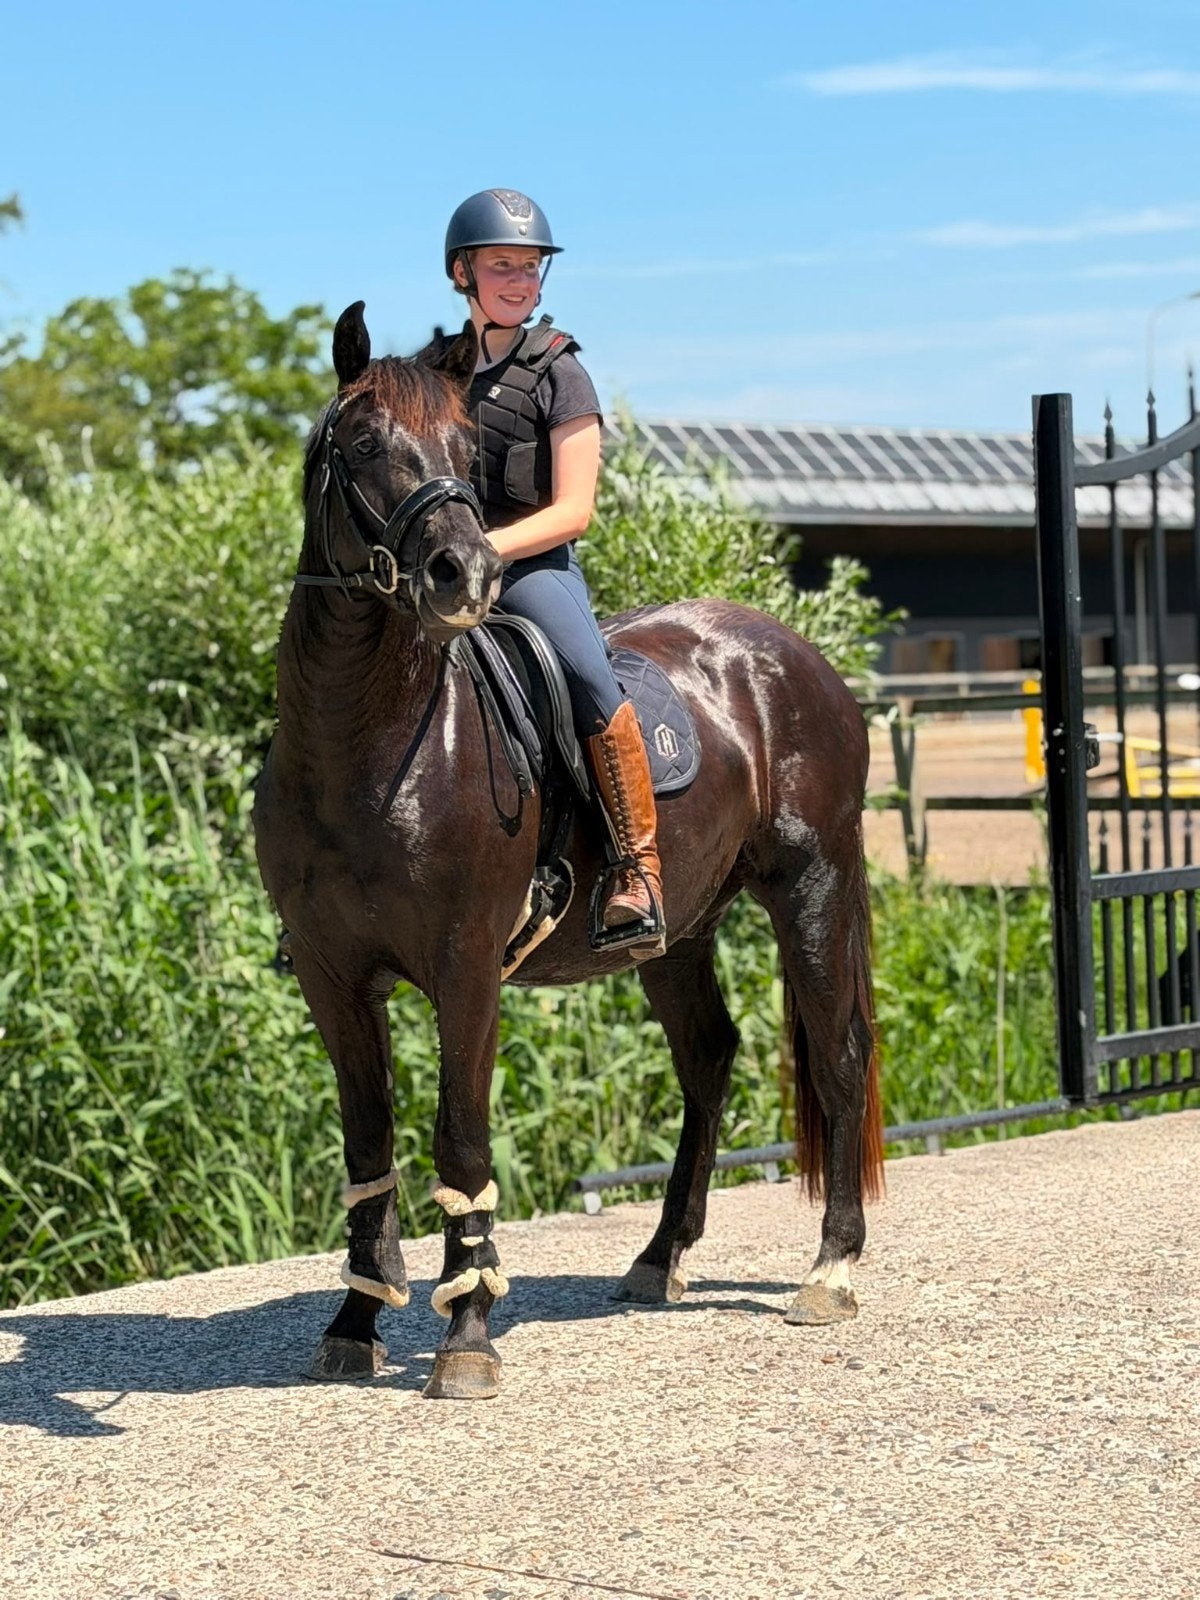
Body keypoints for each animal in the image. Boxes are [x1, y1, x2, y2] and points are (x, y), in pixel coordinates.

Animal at [252, 302, 884, 1400]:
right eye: (362, 445)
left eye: (466, 447)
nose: (461, 572)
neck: (365, 751)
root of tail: (793, 653)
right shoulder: (333, 977)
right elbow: (368, 1138)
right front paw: (356, 1319)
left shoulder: (466, 970)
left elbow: (460, 1138)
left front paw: (465, 1335)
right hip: (677, 935)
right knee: (708, 1058)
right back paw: (659, 1258)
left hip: (815, 887)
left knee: (838, 1058)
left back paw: (830, 1269)